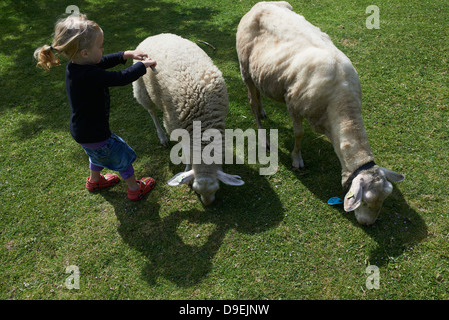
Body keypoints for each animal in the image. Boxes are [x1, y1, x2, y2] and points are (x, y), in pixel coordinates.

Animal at [132, 33, 242, 205]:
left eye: (217, 189)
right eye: (196, 190)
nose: (208, 204)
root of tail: (154, 35)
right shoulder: (177, 128)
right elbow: (185, 152)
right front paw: (186, 169)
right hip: (142, 89)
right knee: (152, 112)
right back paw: (162, 137)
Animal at [236, 1, 404, 225]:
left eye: (384, 199)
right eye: (366, 201)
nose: (367, 224)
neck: (341, 104)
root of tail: (258, 5)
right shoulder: (293, 104)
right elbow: (299, 134)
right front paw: (297, 159)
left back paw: (263, 111)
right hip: (245, 69)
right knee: (252, 102)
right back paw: (264, 136)